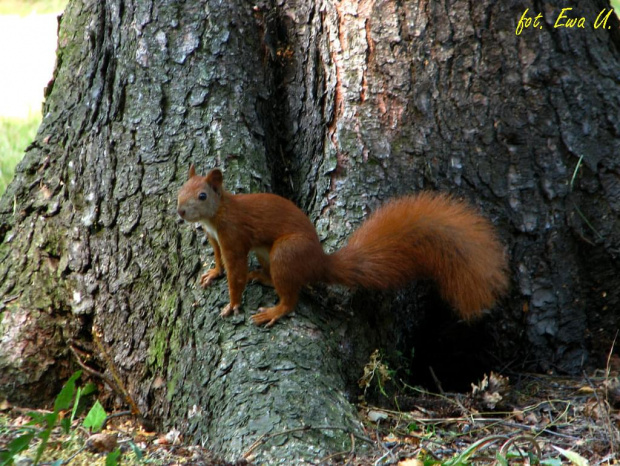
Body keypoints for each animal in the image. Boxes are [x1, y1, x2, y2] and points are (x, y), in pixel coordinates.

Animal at [176, 166, 508, 326]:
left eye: (202, 195)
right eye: (180, 188)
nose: (180, 211)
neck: (218, 215)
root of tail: (319, 261)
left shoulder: (233, 237)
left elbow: (235, 272)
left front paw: (232, 304)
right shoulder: (215, 238)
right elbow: (219, 260)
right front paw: (212, 273)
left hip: (286, 253)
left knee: (291, 296)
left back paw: (275, 310)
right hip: (270, 253)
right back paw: (262, 277)